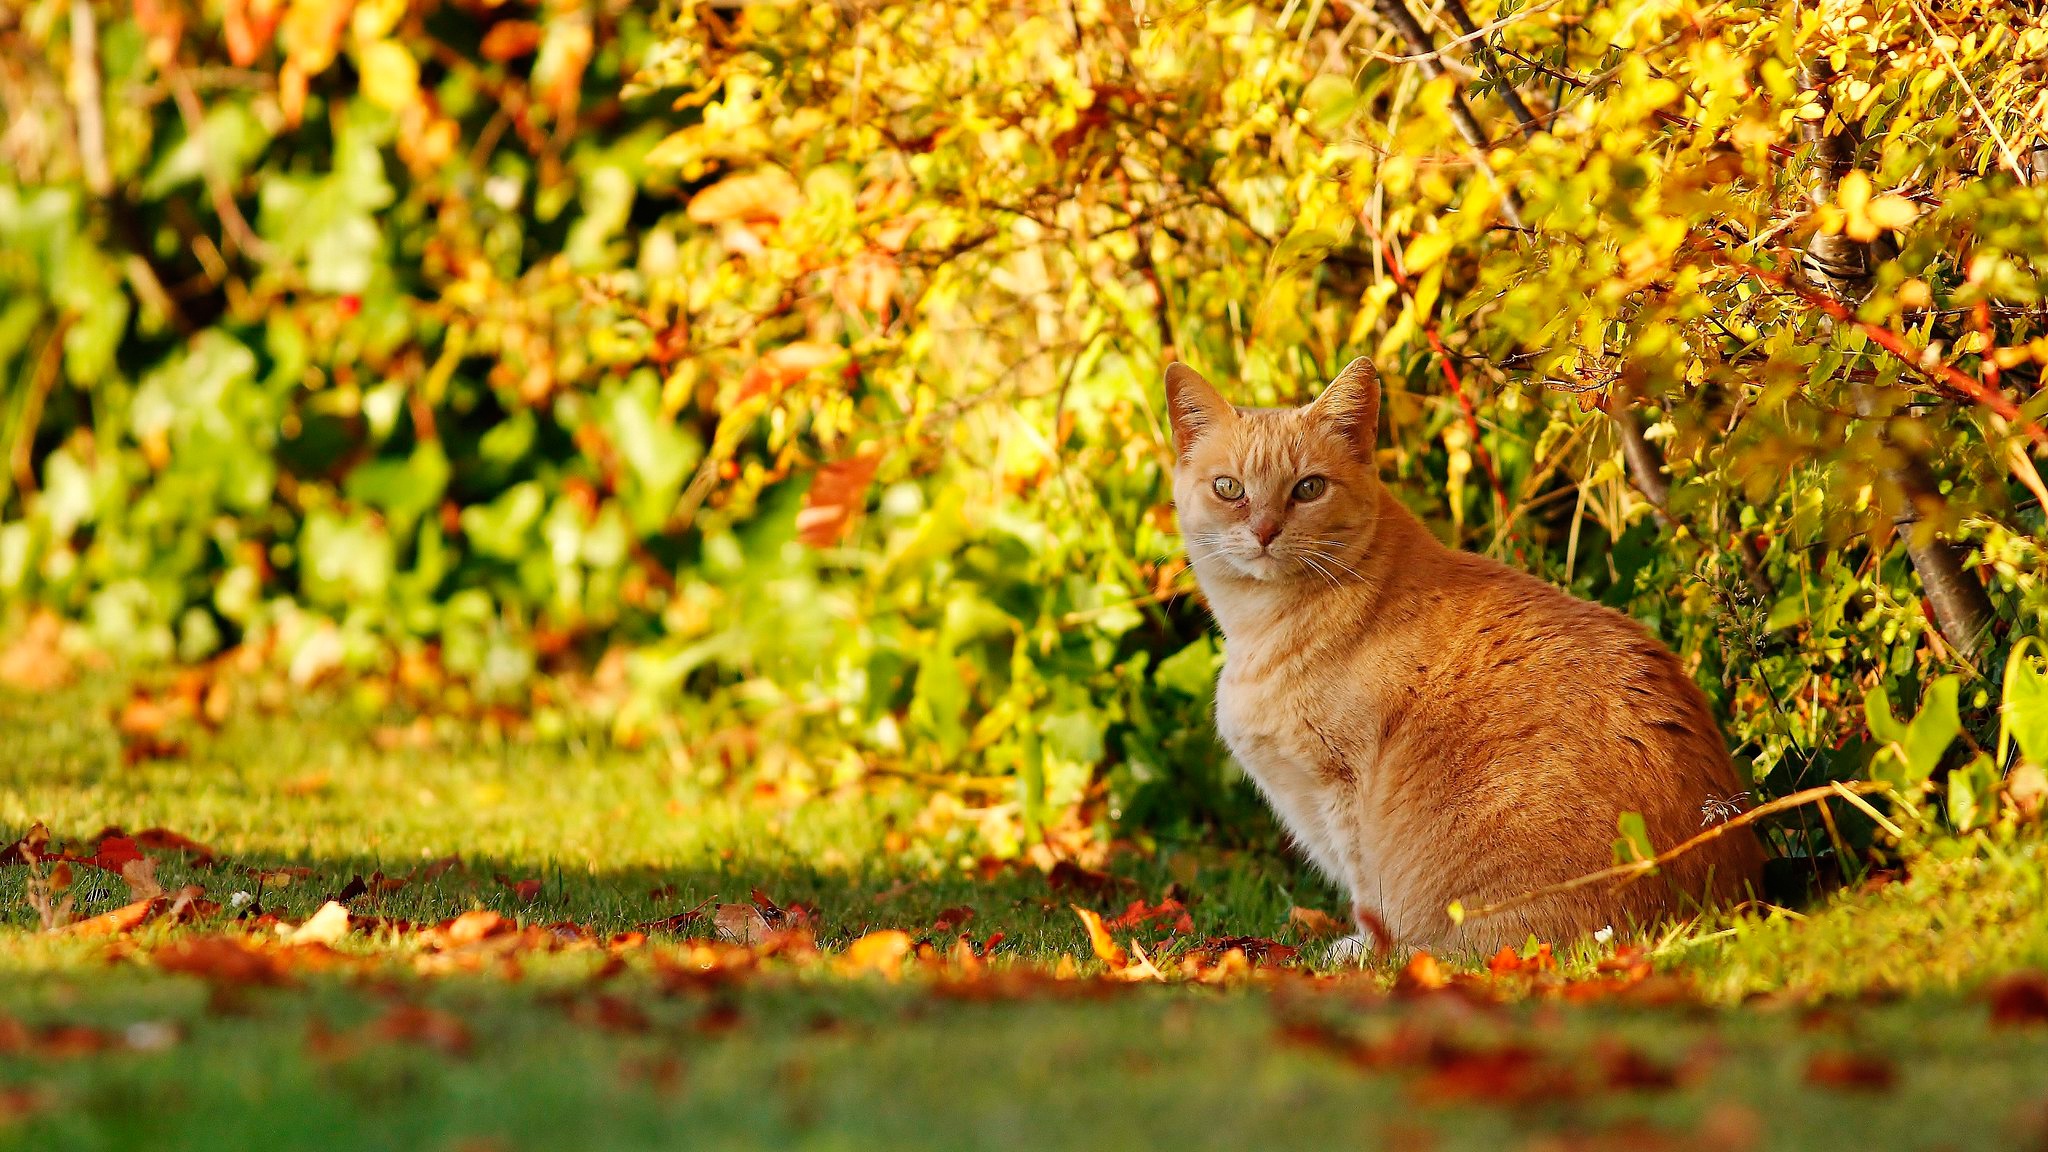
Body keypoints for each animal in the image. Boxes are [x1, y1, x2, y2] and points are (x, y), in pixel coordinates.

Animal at [1171, 356, 1761, 951]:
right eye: (1229, 488)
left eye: (1308, 488)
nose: (1265, 530)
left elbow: (1369, 899)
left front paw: (1360, 953)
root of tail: (1715, 906)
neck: (1264, 628)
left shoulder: (1344, 790)